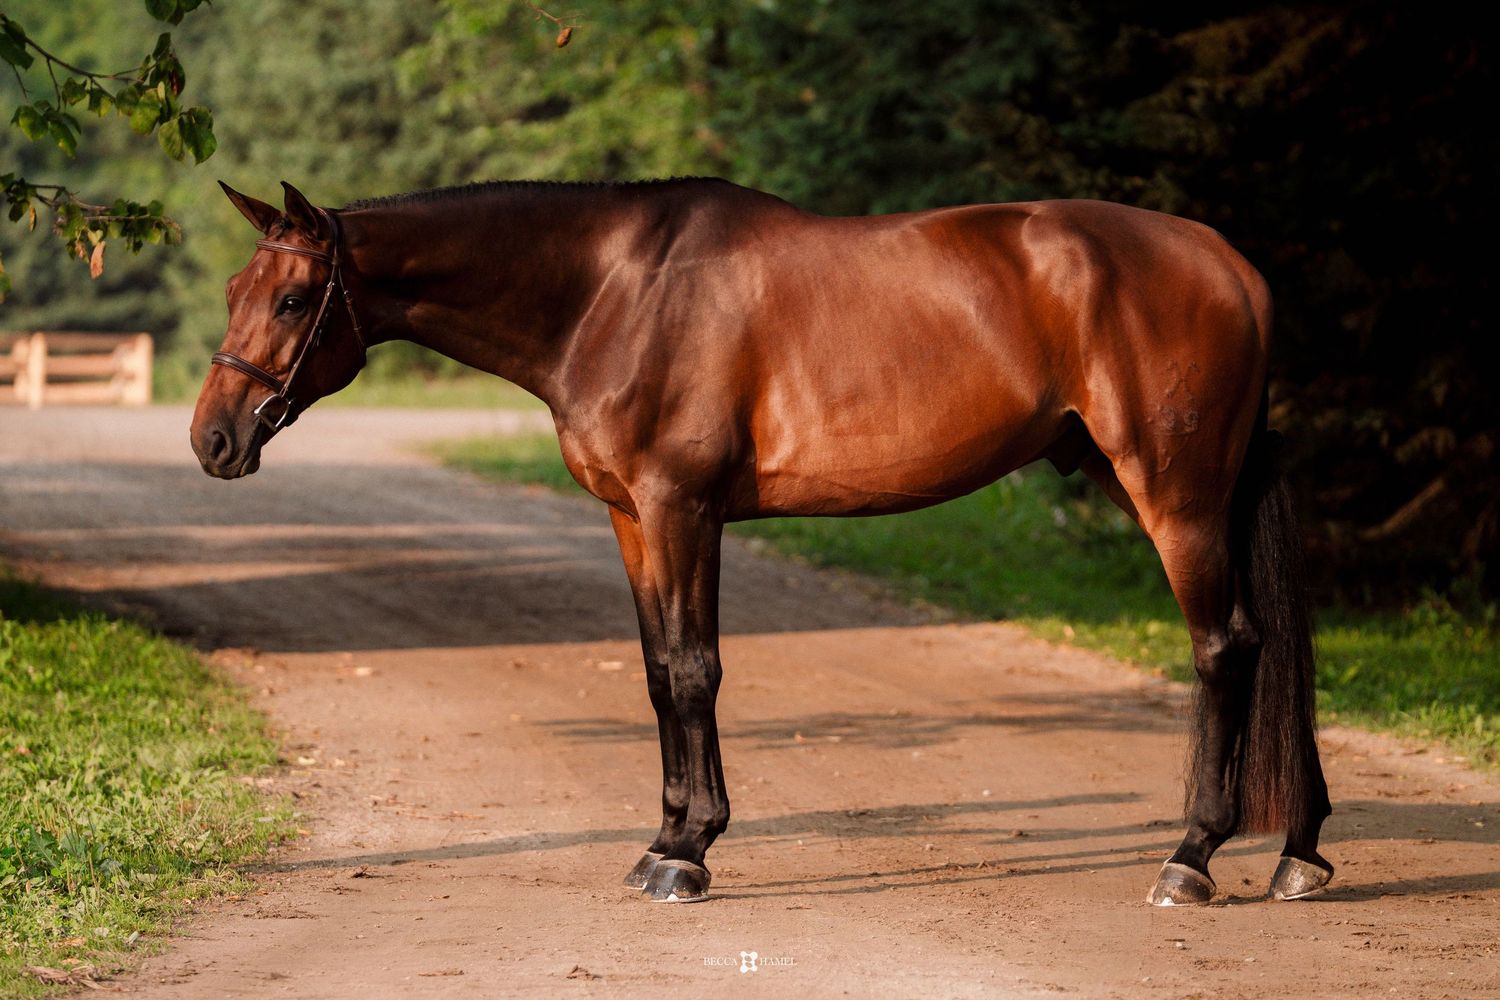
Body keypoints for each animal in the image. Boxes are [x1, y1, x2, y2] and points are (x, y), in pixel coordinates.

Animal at [191, 178, 1333, 906]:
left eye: (292, 297)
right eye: (234, 293)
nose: (213, 439)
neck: (610, 291)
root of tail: (1233, 265)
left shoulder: (681, 508)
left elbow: (697, 670)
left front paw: (689, 854)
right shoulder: (631, 517)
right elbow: (659, 673)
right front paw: (665, 838)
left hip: (1174, 491)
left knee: (1226, 648)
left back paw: (1191, 857)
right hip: (1162, 482)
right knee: (1269, 645)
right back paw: (1300, 852)